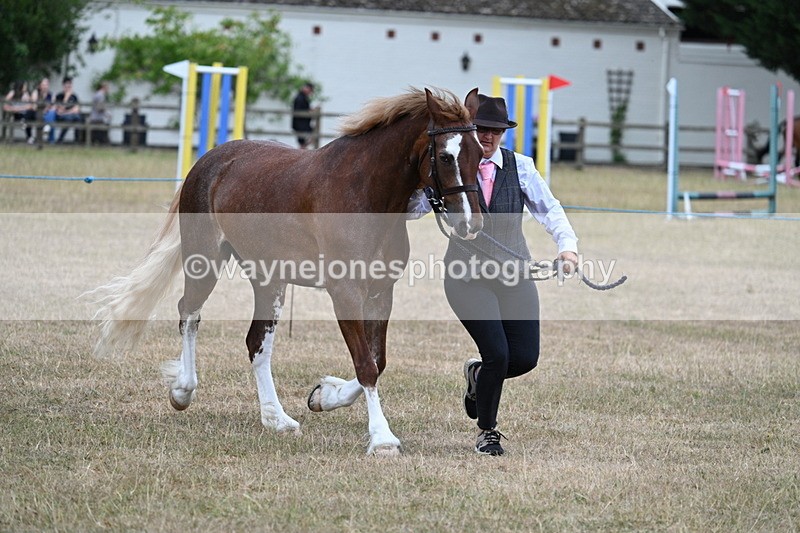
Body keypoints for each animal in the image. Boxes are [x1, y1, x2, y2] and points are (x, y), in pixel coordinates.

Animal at [90, 87, 484, 456]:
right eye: (445, 155)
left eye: (480, 153)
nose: (470, 223)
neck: (365, 194)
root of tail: (210, 161)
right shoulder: (345, 293)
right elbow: (366, 365)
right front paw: (382, 439)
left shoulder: (381, 292)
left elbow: (378, 360)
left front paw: (325, 396)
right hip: (205, 259)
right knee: (189, 312)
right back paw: (183, 391)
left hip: (268, 279)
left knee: (256, 342)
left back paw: (275, 418)